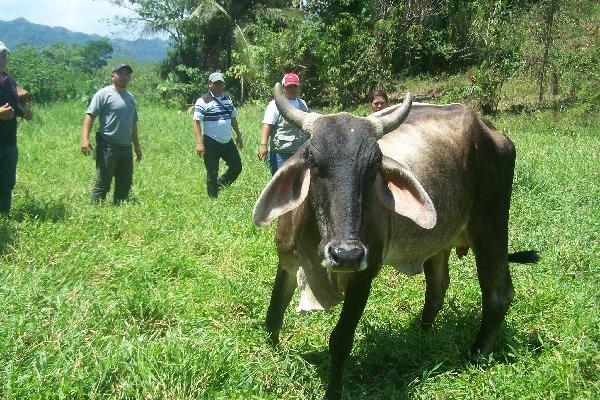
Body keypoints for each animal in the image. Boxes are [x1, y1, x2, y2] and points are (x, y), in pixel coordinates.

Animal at [251, 83, 540, 398]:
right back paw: (420, 334)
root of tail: (492, 131)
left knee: (498, 293)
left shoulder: (363, 275)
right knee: (437, 288)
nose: (346, 253)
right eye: (314, 163)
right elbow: (273, 316)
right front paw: (271, 356)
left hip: (491, 227)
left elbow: (340, 340)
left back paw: (475, 354)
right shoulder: (287, 264)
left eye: (373, 167)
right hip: (439, 242)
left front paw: (333, 391)